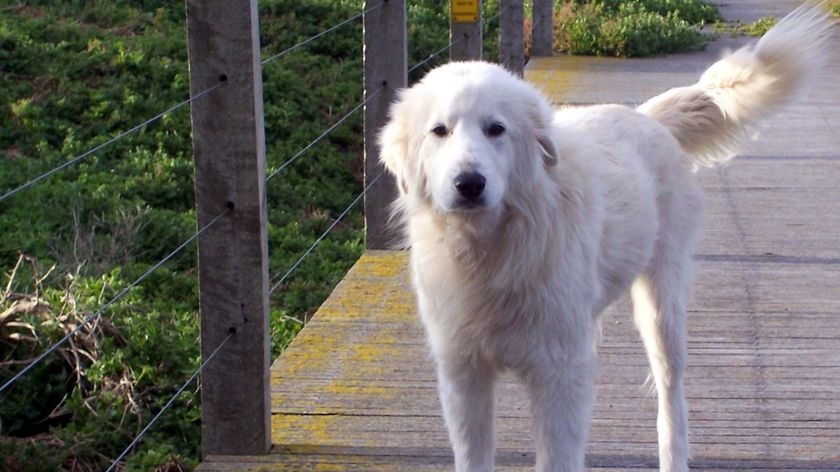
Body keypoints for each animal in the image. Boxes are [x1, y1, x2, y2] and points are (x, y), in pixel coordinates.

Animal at [378, 4, 832, 472]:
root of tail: (647, 116)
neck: (492, 247)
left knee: (672, 399)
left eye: (496, 129)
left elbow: (558, 458)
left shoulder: (560, 372)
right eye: (440, 131)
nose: (469, 183)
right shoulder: (463, 373)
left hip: (662, 311)